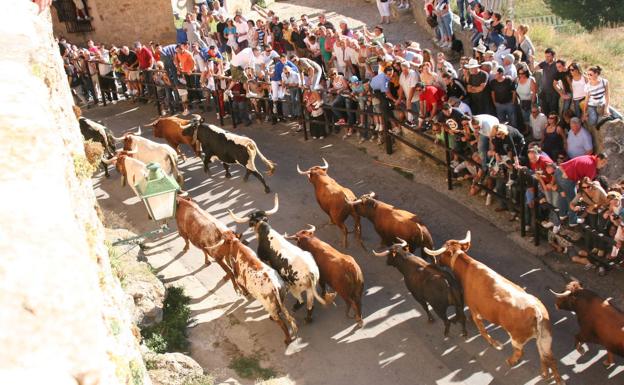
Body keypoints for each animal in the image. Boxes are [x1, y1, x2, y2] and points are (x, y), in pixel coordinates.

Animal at [424, 232, 564, 382]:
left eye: (441, 254)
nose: (436, 261)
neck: (467, 268)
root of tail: (536, 311)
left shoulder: (475, 310)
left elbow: (482, 330)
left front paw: (495, 343)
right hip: (545, 339)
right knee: (549, 358)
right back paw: (550, 377)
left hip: (517, 338)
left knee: (522, 353)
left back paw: (511, 361)